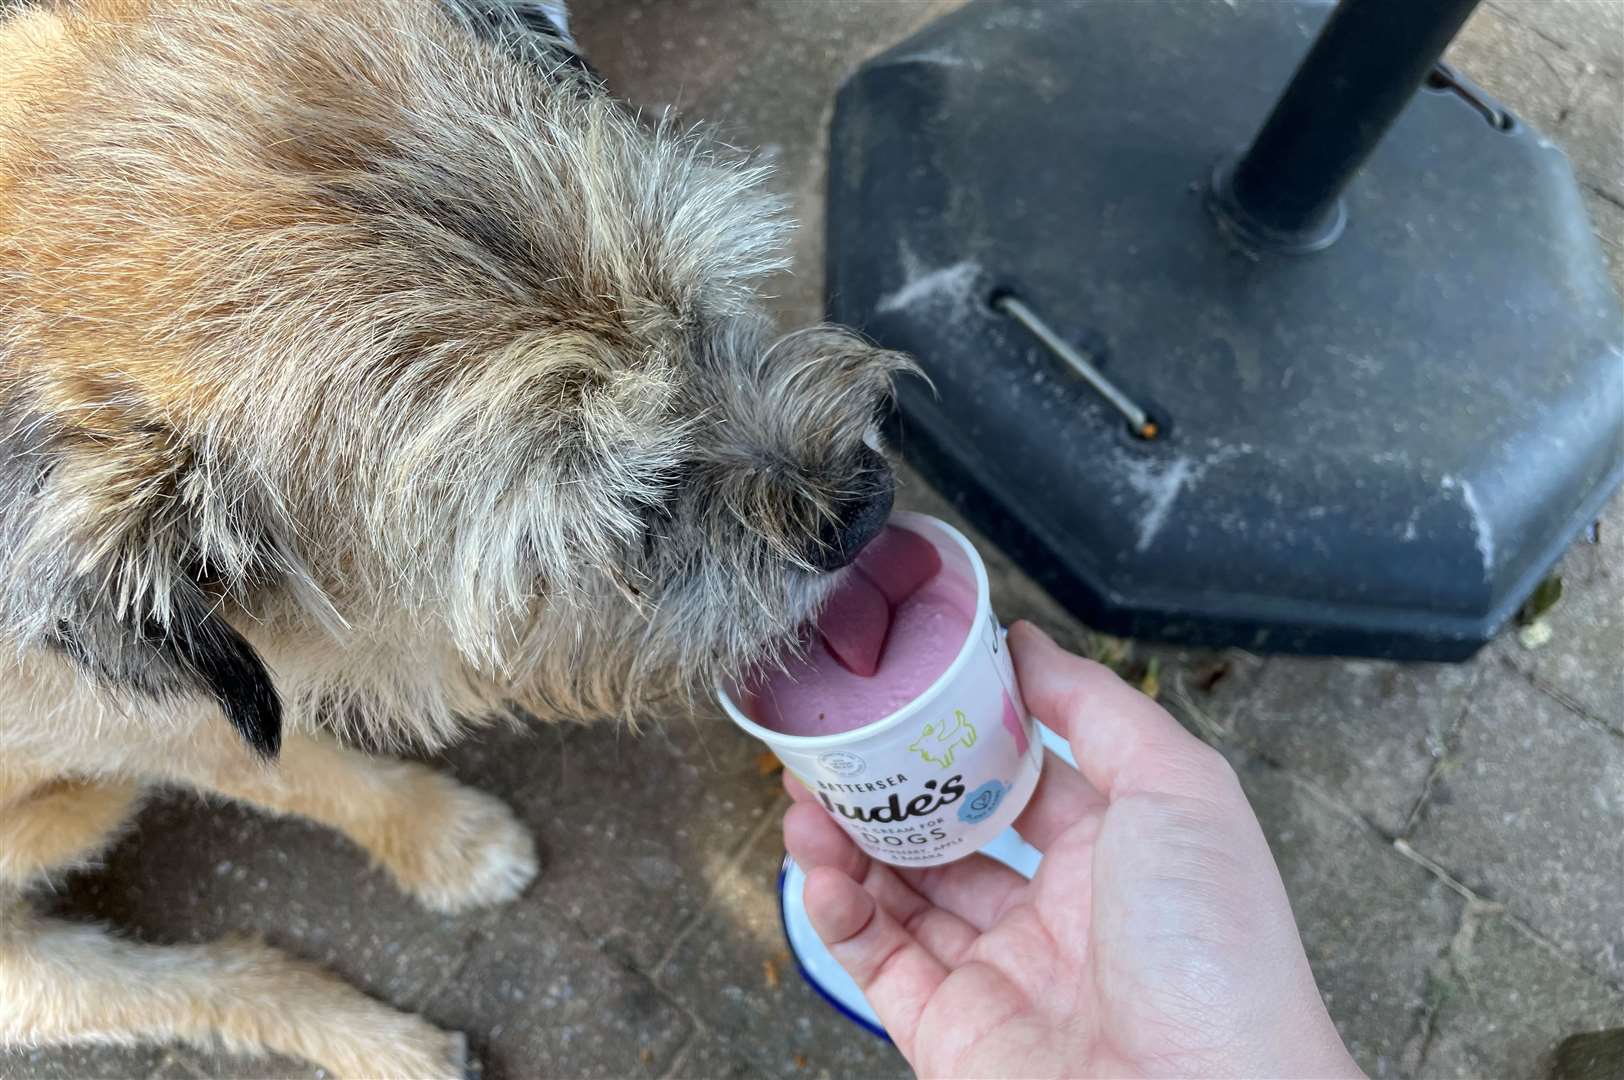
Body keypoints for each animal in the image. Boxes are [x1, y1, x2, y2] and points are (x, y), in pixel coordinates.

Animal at [0, 4, 902, 1071]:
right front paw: (448, 839)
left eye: (695, 311)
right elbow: (307, 773)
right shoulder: (174, 727)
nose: (865, 504)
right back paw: (394, 1045)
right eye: (606, 505)